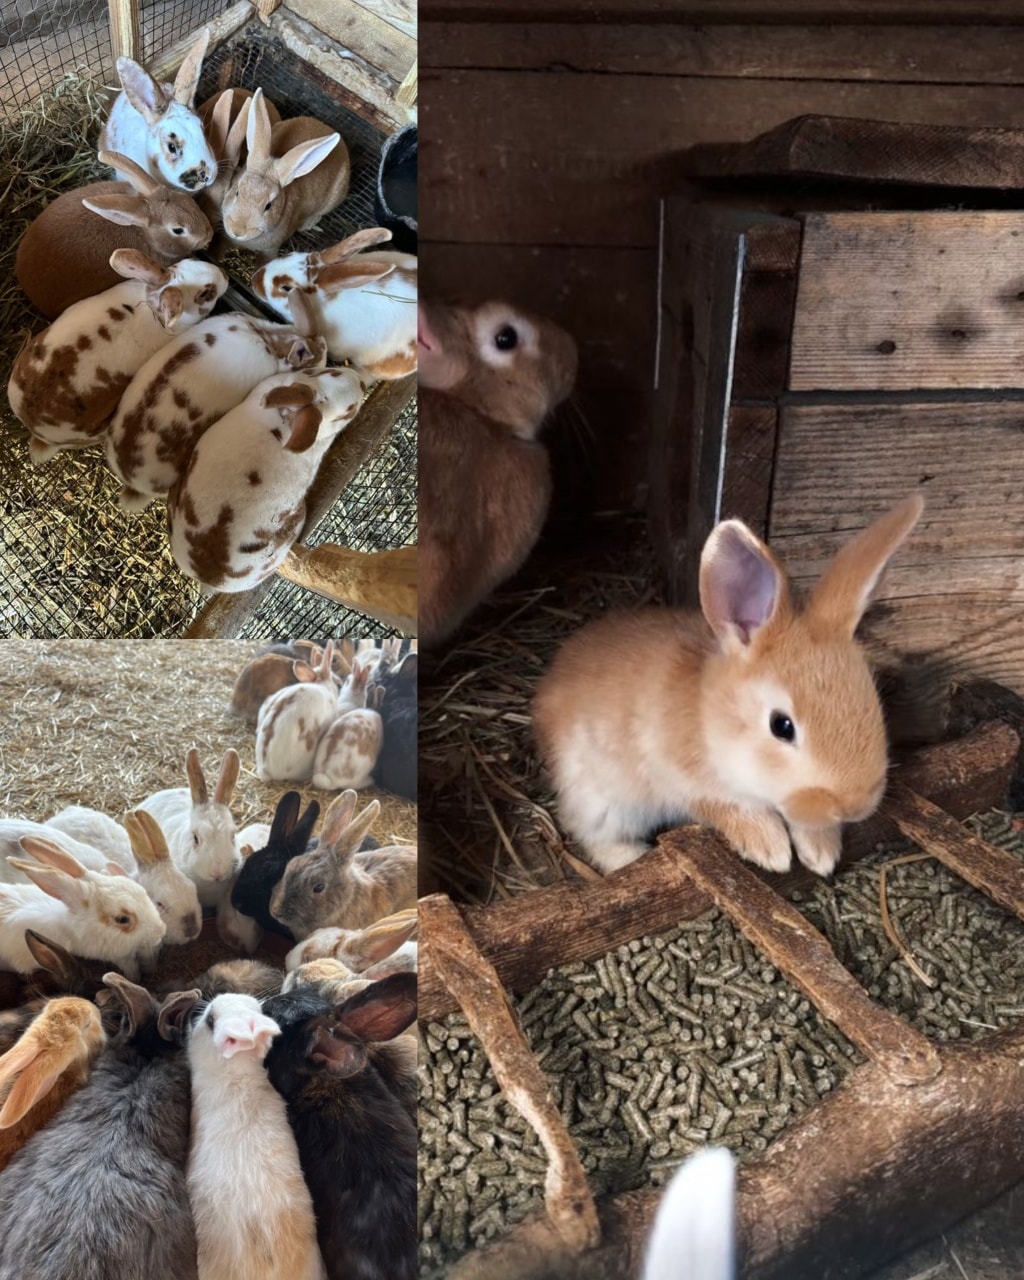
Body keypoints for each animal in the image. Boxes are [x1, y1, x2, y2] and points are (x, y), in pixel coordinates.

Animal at [533, 494, 925, 877]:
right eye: (782, 726)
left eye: (873, 702)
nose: (854, 805)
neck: (710, 720)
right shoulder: (685, 781)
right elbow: (730, 808)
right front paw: (770, 849)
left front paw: (821, 852)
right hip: (601, 798)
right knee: (595, 835)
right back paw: (630, 857)